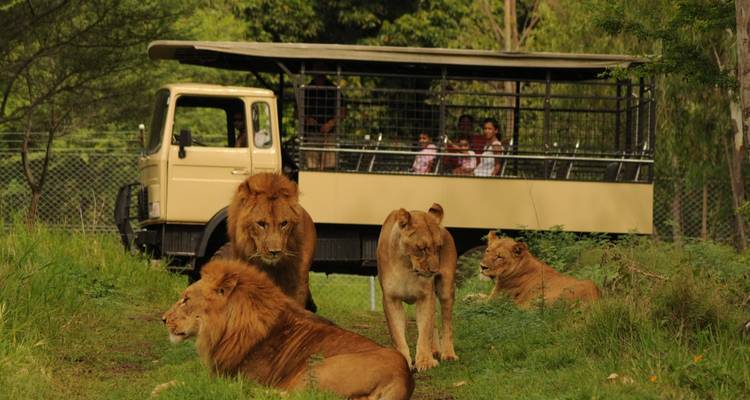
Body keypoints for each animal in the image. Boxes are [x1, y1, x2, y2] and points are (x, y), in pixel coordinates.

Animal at [162, 259, 414, 400]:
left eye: (185, 299)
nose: (163, 319)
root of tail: (402, 378)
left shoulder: (235, 375)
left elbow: (196, 381)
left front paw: (162, 388)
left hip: (315, 370)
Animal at [376, 203, 458, 372]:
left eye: (438, 247)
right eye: (422, 248)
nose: (434, 270)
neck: (407, 267)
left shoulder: (426, 296)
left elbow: (425, 331)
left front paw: (425, 361)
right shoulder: (391, 299)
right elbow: (397, 333)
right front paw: (405, 360)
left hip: (446, 289)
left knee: (446, 323)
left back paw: (448, 353)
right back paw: (435, 350)